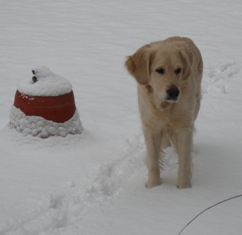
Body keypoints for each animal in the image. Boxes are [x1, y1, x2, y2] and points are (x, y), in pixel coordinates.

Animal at [125, 35, 202, 188]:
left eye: (178, 70)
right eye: (159, 70)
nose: (174, 92)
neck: (164, 106)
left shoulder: (184, 126)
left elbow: (184, 162)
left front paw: (184, 188)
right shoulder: (150, 126)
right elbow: (153, 160)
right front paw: (154, 186)